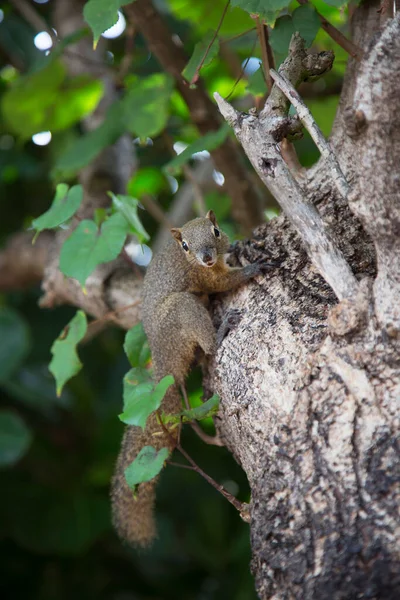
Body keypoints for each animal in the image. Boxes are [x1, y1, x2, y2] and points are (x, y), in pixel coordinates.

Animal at [111, 209, 266, 548]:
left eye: (216, 231)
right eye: (184, 245)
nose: (206, 257)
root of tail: (163, 359)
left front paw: (238, 245)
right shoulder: (207, 277)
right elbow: (225, 281)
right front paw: (255, 266)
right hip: (182, 310)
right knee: (209, 344)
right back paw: (220, 332)